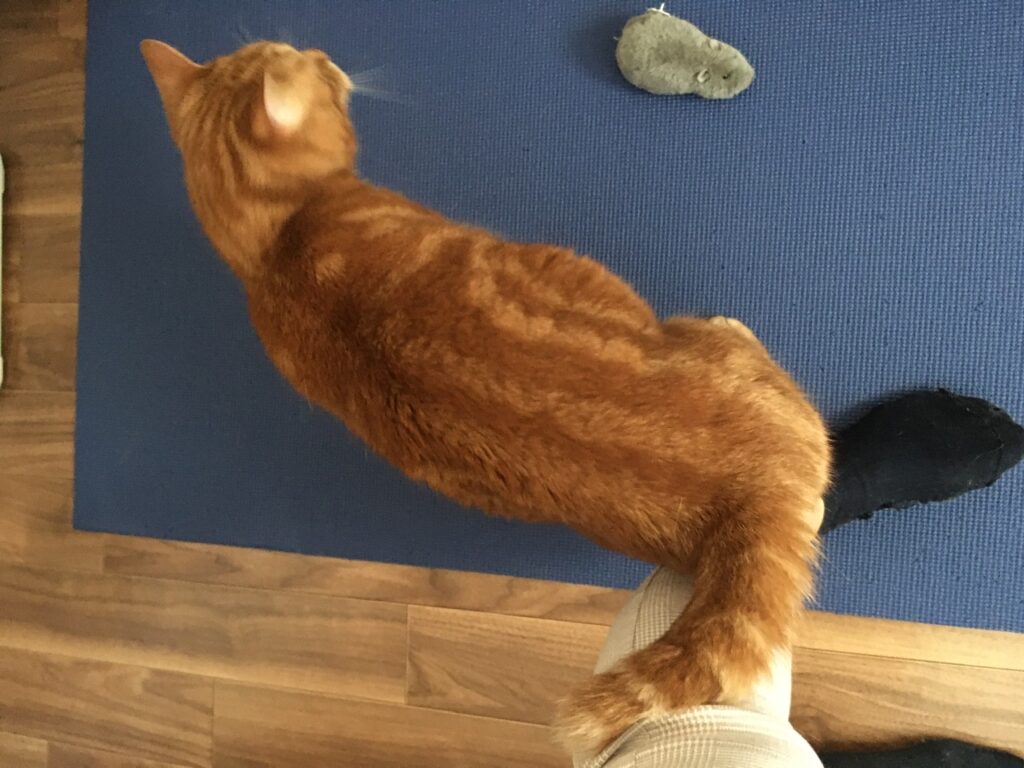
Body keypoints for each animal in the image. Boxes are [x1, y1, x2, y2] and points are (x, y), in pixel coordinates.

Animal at [141, 39, 830, 754]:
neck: (275, 242)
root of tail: (758, 486)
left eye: (288, 48)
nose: (321, 52)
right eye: (308, 65)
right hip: (726, 353)